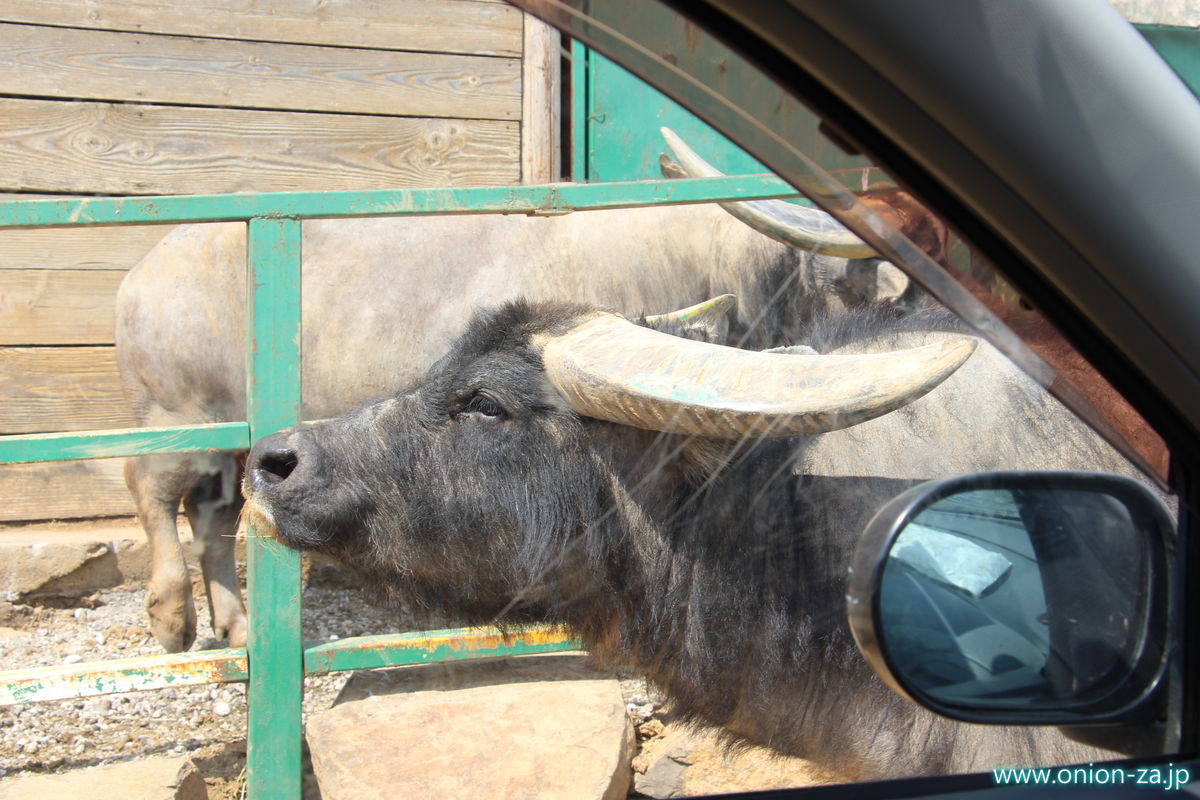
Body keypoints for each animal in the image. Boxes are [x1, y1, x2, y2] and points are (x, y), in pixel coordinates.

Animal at [114, 133, 926, 657]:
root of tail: (142, 274)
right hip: (177, 417)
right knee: (151, 488)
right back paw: (170, 618)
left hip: (230, 440)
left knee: (217, 514)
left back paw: (235, 627)